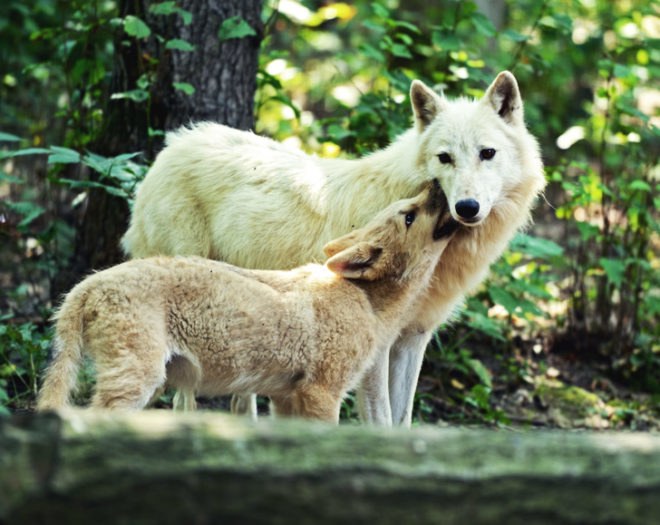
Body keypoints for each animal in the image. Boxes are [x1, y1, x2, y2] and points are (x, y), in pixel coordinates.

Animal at [38, 184, 458, 422]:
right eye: (409, 215)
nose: (440, 184)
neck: (367, 302)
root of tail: (87, 285)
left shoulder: (285, 398)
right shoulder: (322, 393)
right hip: (137, 382)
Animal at [122, 71, 545, 426]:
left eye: (487, 153)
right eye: (445, 158)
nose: (467, 207)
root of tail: (176, 142)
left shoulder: (413, 340)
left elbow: (403, 421)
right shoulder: (375, 351)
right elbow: (382, 422)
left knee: (241, 402)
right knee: (184, 403)